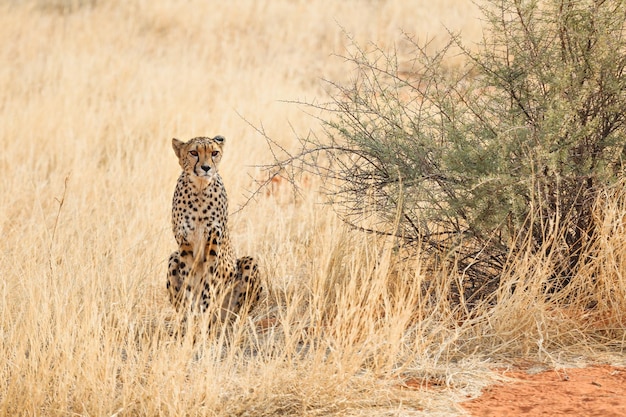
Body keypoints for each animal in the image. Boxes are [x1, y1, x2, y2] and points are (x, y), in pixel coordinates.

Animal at [165, 134, 260, 322]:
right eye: (194, 152)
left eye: (214, 153)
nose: (206, 167)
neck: (200, 188)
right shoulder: (185, 247)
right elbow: (189, 284)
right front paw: (191, 317)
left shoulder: (212, 244)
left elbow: (208, 284)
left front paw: (204, 312)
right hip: (174, 257)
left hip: (249, 264)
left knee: (234, 313)